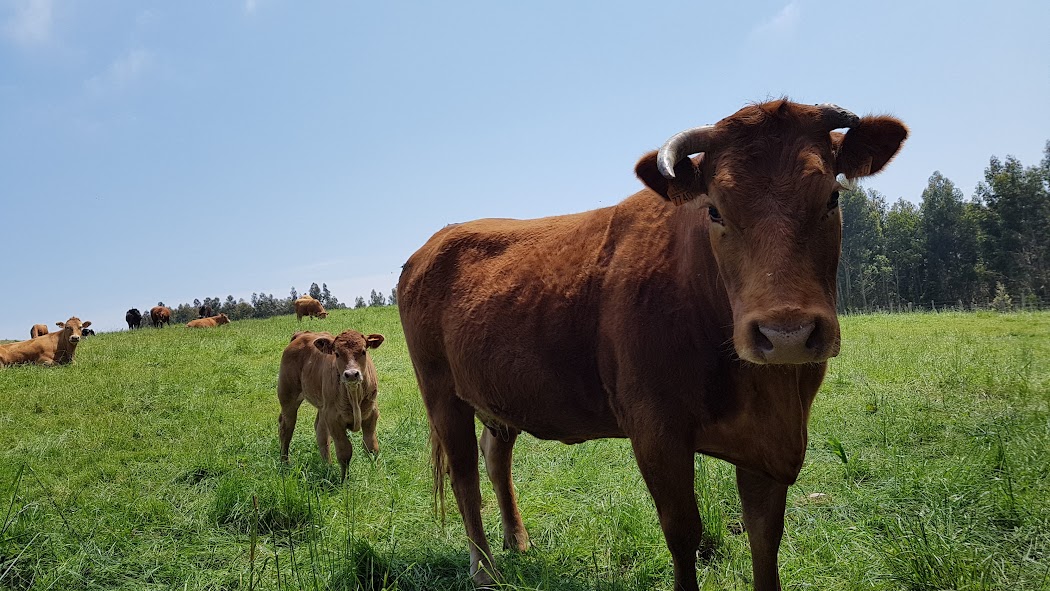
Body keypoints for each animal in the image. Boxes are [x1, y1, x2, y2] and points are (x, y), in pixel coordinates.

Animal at [277, 325, 384, 482]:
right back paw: (285, 463)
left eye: (363, 351)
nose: (351, 374)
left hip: (322, 407)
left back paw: (327, 465)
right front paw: (344, 481)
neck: (353, 394)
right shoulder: (334, 419)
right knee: (286, 428)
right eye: (337, 354)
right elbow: (344, 451)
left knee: (320, 431)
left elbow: (371, 447)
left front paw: (377, 473)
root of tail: (301, 334)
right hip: (288, 397)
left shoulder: (371, 414)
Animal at [396, 99, 907, 587]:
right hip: (441, 393)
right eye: (714, 208)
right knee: (464, 476)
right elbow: (683, 532)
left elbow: (765, 538)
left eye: (832, 197)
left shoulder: (767, 446)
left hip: (499, 395)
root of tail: (431, 245)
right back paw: (484, 570)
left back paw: (517, 542)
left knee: (496, 457)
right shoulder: (655, 430)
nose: (786, 334)